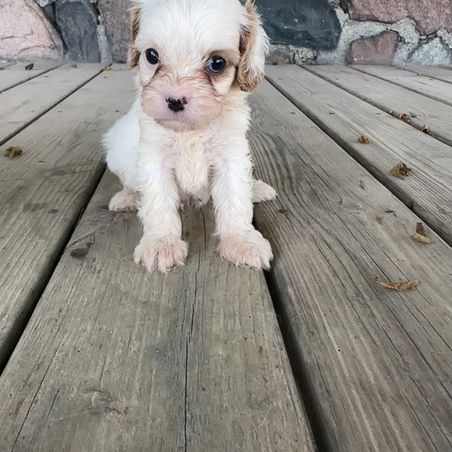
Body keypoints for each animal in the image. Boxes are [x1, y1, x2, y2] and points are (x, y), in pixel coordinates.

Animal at [104, 0, 276, 273]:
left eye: (217, 63)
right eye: (151, 55)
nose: (175, 100)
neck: (190, 131)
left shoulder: (231, 154)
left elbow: (236, 195)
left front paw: (241, 240)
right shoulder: (154, 156)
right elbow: (157, 200)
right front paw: (161, 243)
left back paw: (257, 189)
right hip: (117, 149)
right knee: (130, 181)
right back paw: (128, 196)